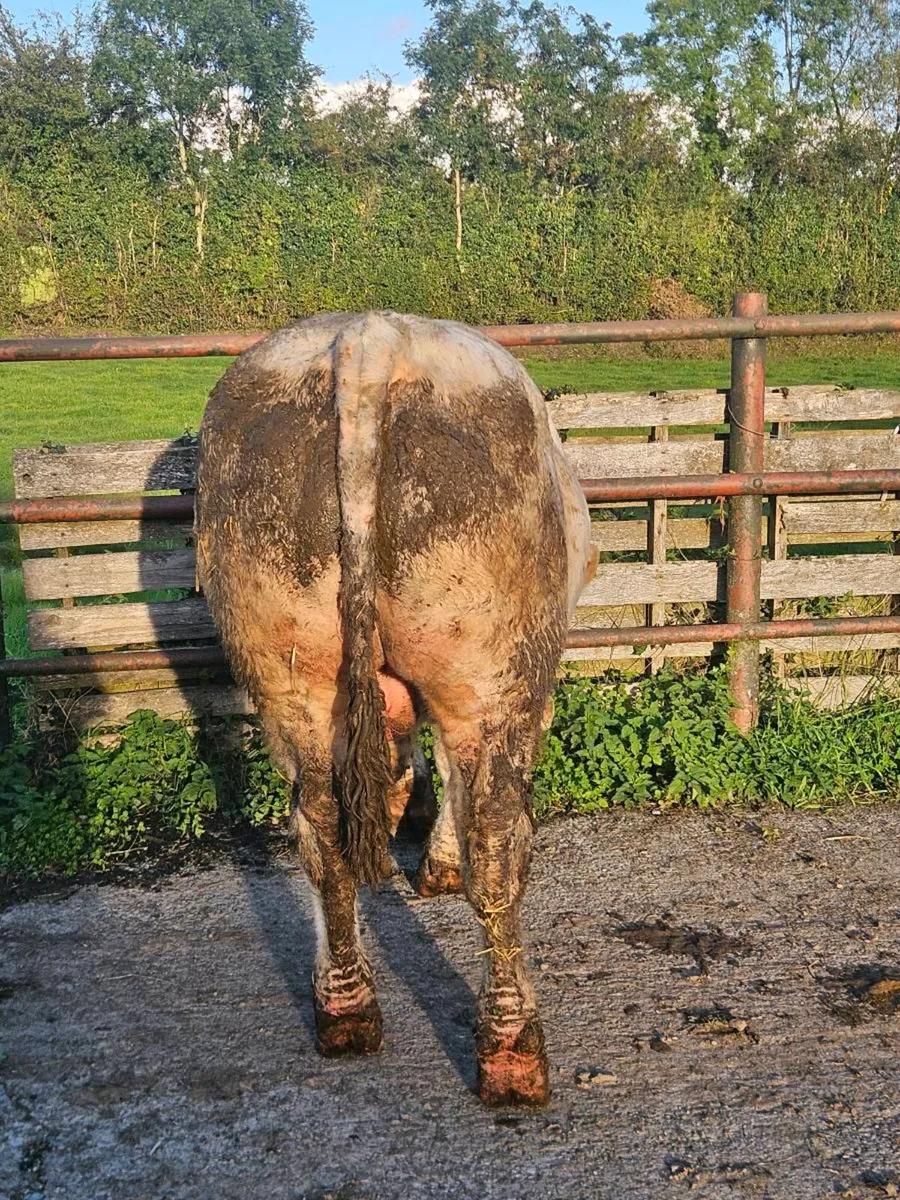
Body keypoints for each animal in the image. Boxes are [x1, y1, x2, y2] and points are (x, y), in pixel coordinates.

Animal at [195, 312, 594, 1106]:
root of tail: (368, 342)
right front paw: (437, 863)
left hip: (288, 667)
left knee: (319, 830)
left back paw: (346, 1009)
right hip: (494, 670)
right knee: (496, 842)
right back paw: (513, 1054)